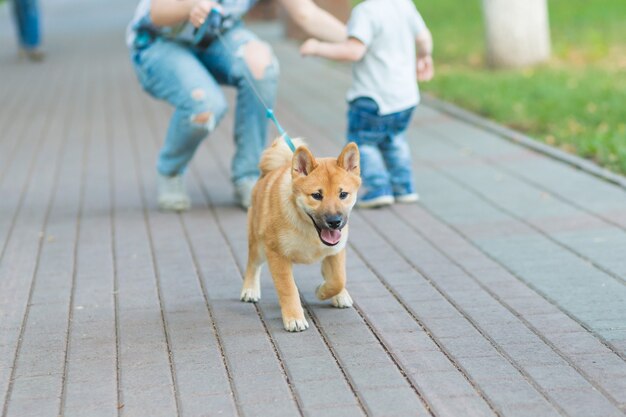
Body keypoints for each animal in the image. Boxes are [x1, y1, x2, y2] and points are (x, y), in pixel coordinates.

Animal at [241, 137, 364, 332]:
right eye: (317, 195)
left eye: (343, 194)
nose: (335, 221)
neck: (309, 229)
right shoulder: (277, 255)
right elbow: (288, 290)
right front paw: (294, 318)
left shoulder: (336, 250)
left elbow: (338, 279)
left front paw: (322, 291)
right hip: (258, 244)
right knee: (252, 265)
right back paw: (250, 290)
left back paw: (340, 294)